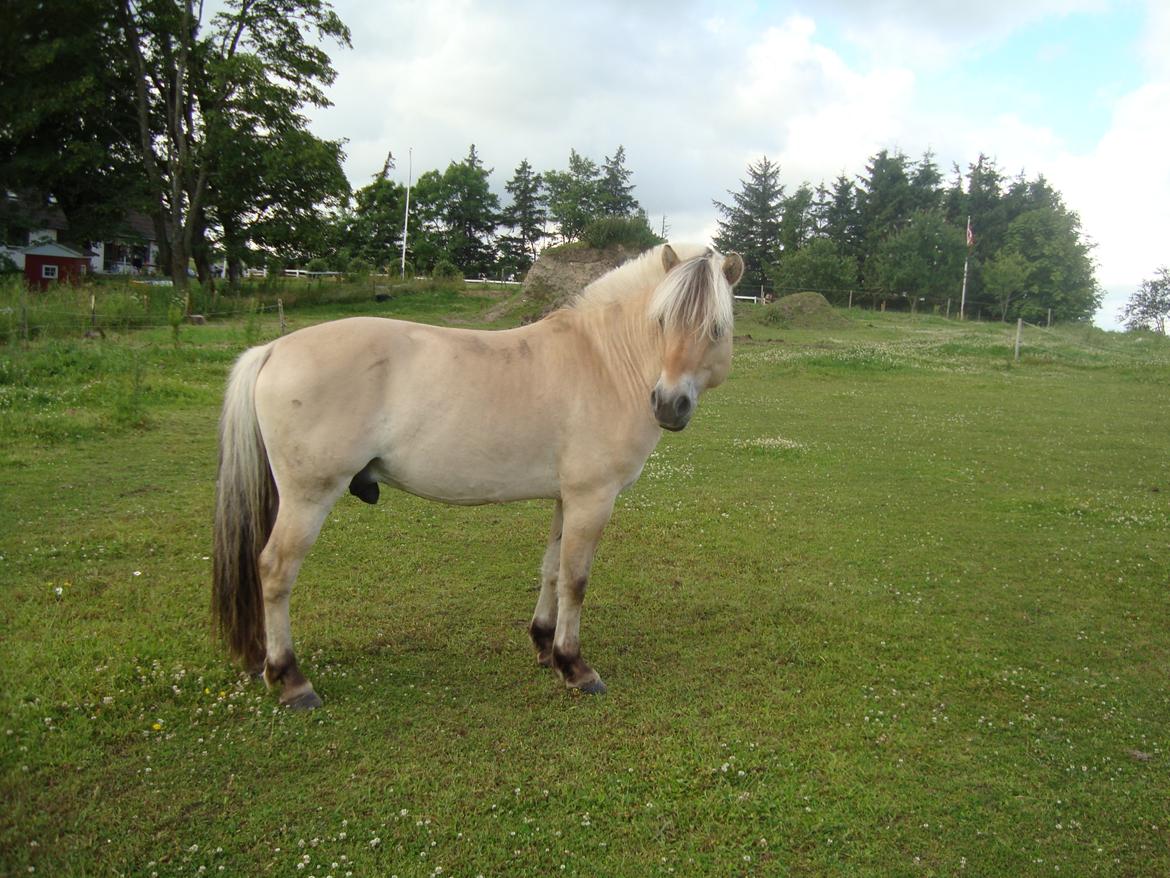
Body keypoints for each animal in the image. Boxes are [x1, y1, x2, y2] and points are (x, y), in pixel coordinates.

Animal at [215, 244, 744, 711]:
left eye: (716, 327)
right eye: (661, 321)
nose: (668, 405)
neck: (605, 361)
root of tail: (273, 349)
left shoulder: (566, 498)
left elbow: (552, 570)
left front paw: (544, 644)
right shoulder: (593, 499)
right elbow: (576, 580)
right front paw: (574, 666)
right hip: (308, 499)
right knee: (275, 571)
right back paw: (291, 680)